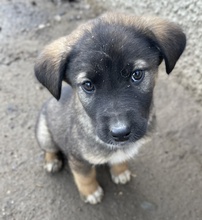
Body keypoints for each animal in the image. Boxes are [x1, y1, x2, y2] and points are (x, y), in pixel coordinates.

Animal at [33, 12, 186, 205]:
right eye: (88, 85)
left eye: (137, 74)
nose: (120, 133)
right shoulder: (77, 158)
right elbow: (85, 176)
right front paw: (91, 192)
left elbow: (120, 159)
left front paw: (120, 171)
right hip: (43, 132)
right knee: (49, 149)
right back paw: (52, 161)